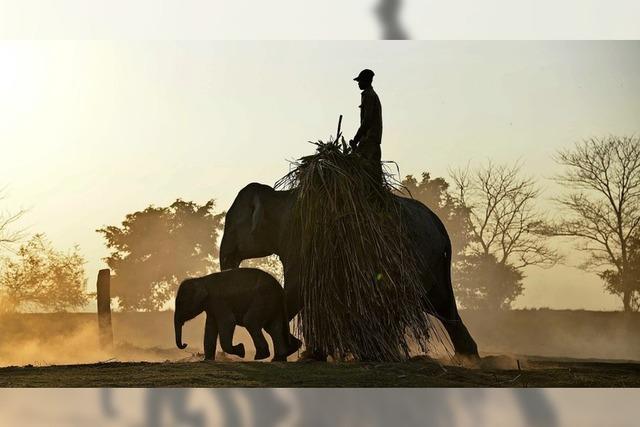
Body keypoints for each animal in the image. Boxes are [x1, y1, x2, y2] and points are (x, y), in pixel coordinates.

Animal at [172, 270, 302, 362]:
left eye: (180, 303)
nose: (185, 344)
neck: (201, 279)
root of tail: (280, 290)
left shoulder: (219, 301)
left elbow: (228, 321)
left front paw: (241, 350)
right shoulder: (211, 305)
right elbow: (210, 327)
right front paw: (207, 360)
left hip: (264, 298)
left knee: (251, 321)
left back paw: (261, 356)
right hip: (272, 304)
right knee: (273, 328)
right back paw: (279, 357)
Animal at [218, 182, 478, 360]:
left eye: (229, 223)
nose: (234, 352)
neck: (278, 196)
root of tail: (438, 223)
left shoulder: (303, 238)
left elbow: (298, 288)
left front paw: (291, 353)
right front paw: (307, 355)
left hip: (415, 256)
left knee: (427, 303)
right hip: (429, 261)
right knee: (439, 303)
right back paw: (465, 356)